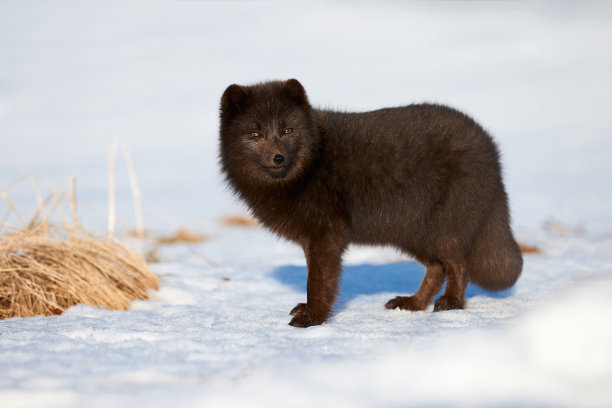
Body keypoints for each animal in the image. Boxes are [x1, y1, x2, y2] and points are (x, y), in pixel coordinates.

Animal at [219, 79, 520, 328]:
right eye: (255, 134)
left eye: (287, 129)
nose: (279, 157)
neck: (311, 167)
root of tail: (492, 149)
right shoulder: (311, 239)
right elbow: (315, 280)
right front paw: (309, 312)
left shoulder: (326, 235)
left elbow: (318, 282)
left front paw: (314, 319)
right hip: (411, 233)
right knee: (437, 268)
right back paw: (413, 303)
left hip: (442, 228)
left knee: (458, 265)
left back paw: (452, 304)